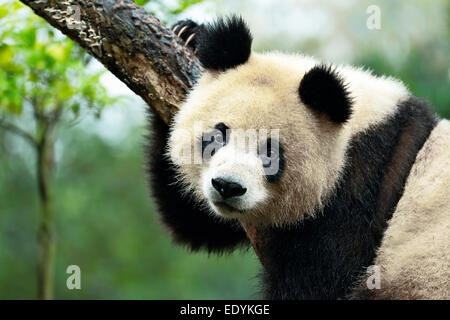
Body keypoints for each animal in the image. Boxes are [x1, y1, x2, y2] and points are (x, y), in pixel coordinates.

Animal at [146, 15, 448, 300]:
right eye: (219, 135)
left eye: (270, 152)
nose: (227, 187)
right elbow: (196, 221)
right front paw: (189, 34)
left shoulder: (364, 184)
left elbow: (321, 280)